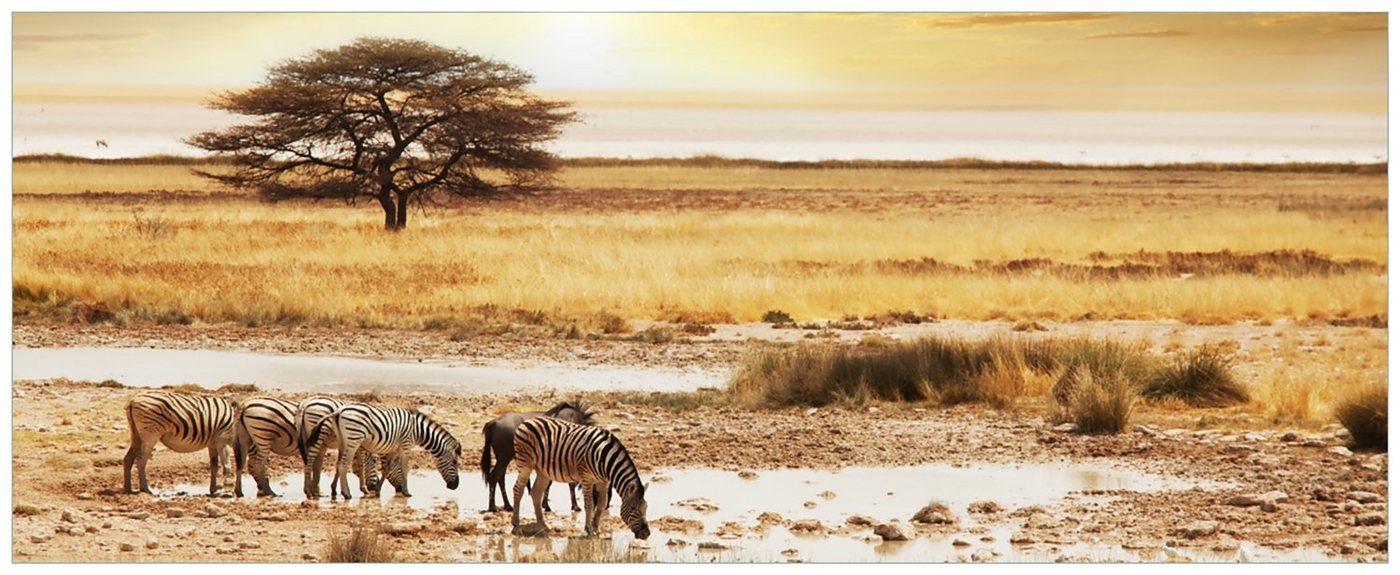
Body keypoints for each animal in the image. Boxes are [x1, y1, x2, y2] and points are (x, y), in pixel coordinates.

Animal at [233, 397, 389, 498]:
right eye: (375, 461)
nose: (374, 486)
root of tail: (244, 404)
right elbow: (357, 464)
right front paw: (363, 489)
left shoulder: (333, 445)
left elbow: (328, 466)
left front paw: (323, 489)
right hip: (264, 437)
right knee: (257, 465)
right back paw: (269, 492)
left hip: (247, 438)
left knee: (242, 463)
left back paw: (241, 491)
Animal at [309, 402, 462, 500]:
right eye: (455, 462)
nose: (455, 486)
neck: (418, 431)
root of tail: (339, 411)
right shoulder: (405, 446)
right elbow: (405, 469)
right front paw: (406, 492)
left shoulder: (394, 449)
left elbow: (387, 468)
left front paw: (377, 490)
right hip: (353, 439)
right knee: (343, 465)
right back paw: (346, 494)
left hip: (343, 440)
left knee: (338, 465)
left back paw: (337, 491)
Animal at [509, 419, 649, 540]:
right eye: (633, 508)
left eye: (646, 507)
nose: (646, 534)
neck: (604, 458)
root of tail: (527, 421)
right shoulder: (587, 477)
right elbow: (589, 504)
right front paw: (589, 529)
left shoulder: (603, 481)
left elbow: (601, 504)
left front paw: (596, 528)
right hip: (525, 464)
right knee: (518, 489)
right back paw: (516, 524)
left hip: (542, 471)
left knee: (536, 493)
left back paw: (543, 525)